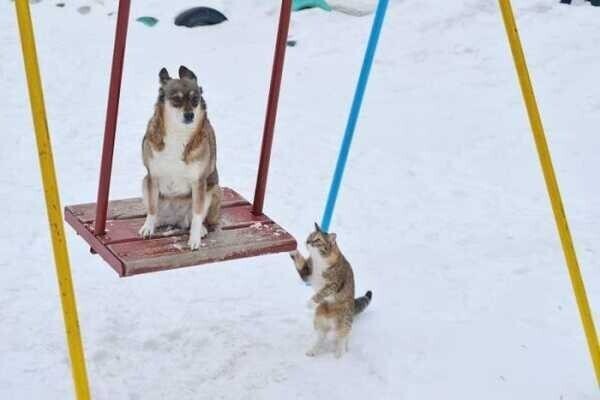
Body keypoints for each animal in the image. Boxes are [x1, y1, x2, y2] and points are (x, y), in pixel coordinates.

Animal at [137, 66, 221, 250]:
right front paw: (148, 227)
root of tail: (175, 219)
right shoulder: (153, 177)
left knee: (197, 217)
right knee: (155, 212)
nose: (189, 115)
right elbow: (152, 208)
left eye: (195, 100)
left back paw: (201, 229)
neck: (178, 134)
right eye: (176, 100)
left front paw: (194, 239)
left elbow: (197, 215)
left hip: (212, 189)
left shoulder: (199, 183)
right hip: (145, 182)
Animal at [290, 223, 370, 358]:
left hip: (344, 322)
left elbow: (322, 292)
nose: (307, 241)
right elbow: (300, 263)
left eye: (317, 240)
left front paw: (310, 302)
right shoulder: (307, 274)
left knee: (342, 337)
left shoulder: (334, 284)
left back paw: (339, 353)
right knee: (321, 337)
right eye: (310, 236)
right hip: (318, 319)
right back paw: (313, 350)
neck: (319, 261)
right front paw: (293, 250)